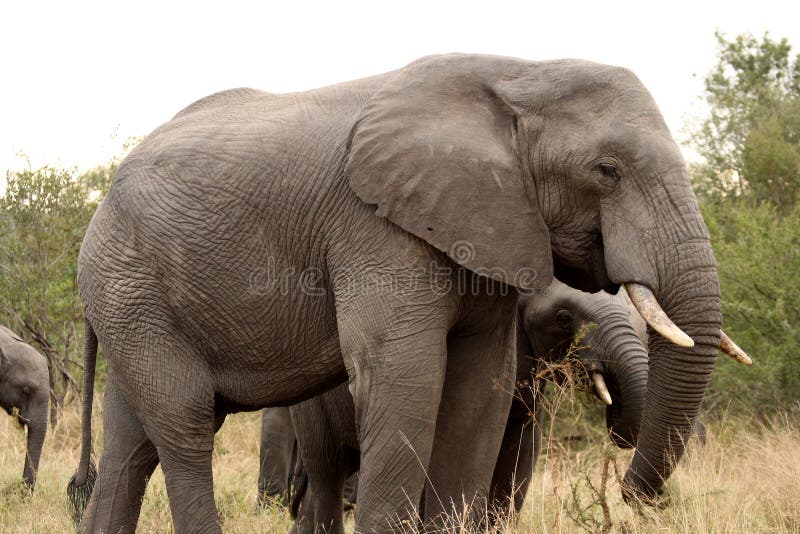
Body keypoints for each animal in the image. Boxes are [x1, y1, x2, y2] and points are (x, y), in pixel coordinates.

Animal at [69, 52, 744, 532]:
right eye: (607, 171)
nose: (628, 488)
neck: (519, 74)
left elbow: (480, 387)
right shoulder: (375, 228)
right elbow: (407, 375)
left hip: (132, 299)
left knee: (133, 447)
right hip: (128, 283)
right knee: (185, 426)